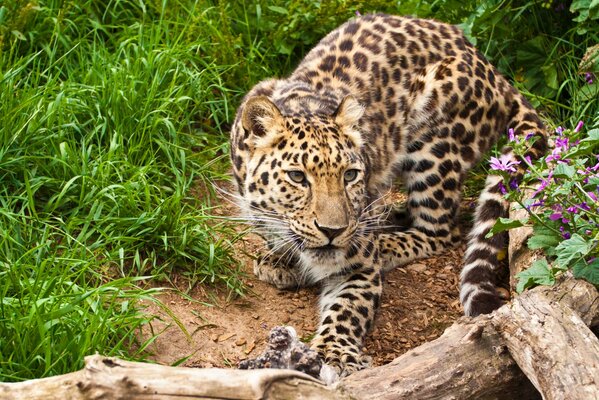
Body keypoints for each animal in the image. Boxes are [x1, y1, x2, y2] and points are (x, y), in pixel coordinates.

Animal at [230, 12, 548, 378]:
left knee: (440, 231)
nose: (333, 231)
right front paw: (279, 258)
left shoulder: (359, 268)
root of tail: (495, 72)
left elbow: (346, 309)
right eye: (298, 177)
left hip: (435, 146)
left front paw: (334, 353)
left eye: (350, 175)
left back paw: (385, 241)